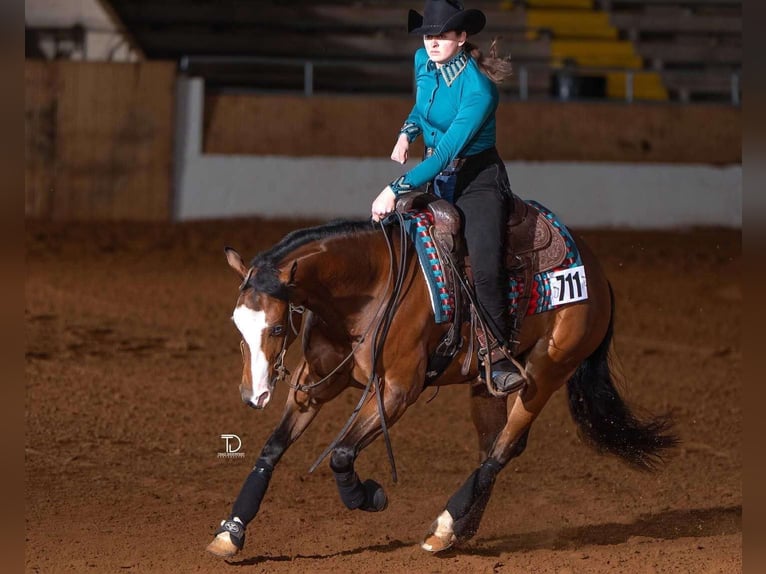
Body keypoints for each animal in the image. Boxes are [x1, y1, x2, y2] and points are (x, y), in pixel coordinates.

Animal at [205, 210, 676, 558]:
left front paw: (369, 496)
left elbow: (340, 454)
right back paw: (461, 529)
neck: (370, 287)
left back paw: (446, 527)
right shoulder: (314, 385)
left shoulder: (398, 391)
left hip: (546, 372)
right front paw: (231, 532)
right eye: (236, 324)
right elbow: (272, 448)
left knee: (504, 448)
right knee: (494, 448)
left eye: (277, 328)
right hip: (488, 385)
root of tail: (596, 274)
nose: (253, 395)